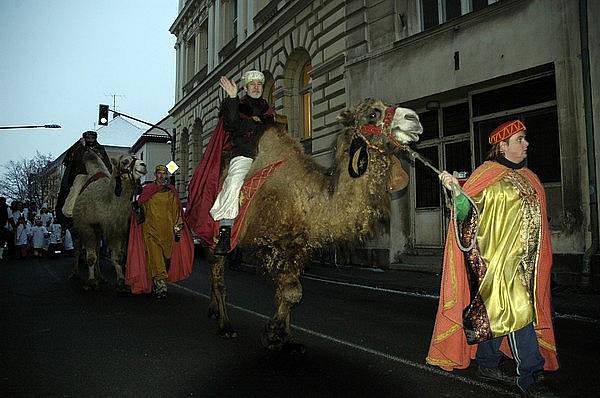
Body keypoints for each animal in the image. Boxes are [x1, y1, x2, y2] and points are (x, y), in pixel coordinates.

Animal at [71, 152, 147, 290]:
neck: (105, 201)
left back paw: (101, 277)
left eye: (137, 157)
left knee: (97, 250)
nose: (143, 165)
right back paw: (75, 274)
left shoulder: (116, 229)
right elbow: (91, 257)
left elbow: (117, 257)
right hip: (77, 228)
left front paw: (121, 281)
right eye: (125, 161)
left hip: (98, 232)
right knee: (78, 249)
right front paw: (91, 281)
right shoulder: (87, 226)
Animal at [206, 98, 422, 350]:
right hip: (216, 234)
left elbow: (289, 293)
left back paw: (213, 312)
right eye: (372, 113)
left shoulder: (298, 248)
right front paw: (271, 333)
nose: (414, 119)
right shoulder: (269, 244)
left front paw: (287, 338)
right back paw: (225, 326)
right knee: (218, 275)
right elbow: (291, 292)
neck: (309, 199)